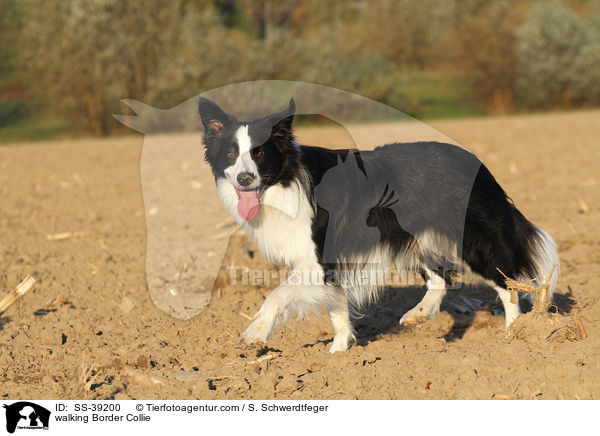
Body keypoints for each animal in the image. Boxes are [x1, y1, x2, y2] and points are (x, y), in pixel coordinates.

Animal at [199, 97, 560, 352]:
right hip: (417, 239)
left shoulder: (318, 258)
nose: (245, 179)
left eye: (260, 154)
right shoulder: (330, 263)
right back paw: (417, 315)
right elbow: (336, 306)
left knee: (507, 283)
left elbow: (277, 295)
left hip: (472, 239)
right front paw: (339, 353)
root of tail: (478, 163)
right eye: (230, 154)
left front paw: (254, 334)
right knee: (441, 277)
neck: (284, 182)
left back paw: (512, 336)